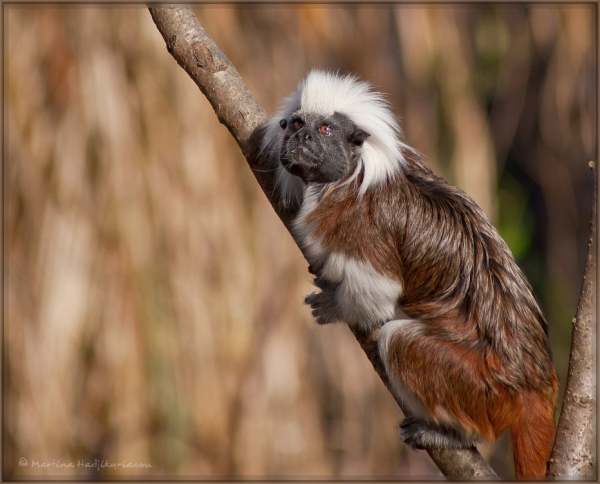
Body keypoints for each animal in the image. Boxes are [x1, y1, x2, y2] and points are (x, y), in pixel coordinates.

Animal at [260, 70, 560, 478]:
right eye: (295, 125)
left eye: (324, 129)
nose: (301, 138)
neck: (349, 175)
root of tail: (533, 383)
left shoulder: (362, 225)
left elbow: (378, 294)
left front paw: (335, 304)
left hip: (482, 386)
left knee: (398, 339)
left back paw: (454, 434)